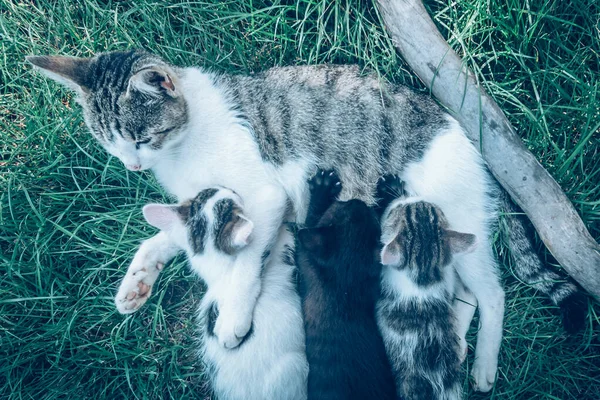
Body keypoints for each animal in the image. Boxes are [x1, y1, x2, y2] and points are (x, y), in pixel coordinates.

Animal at [296, 170, 398, 400]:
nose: (358, 200)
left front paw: (322, 188)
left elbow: (311, 217)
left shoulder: (305, 259)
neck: (344, 288)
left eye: (343, 204)